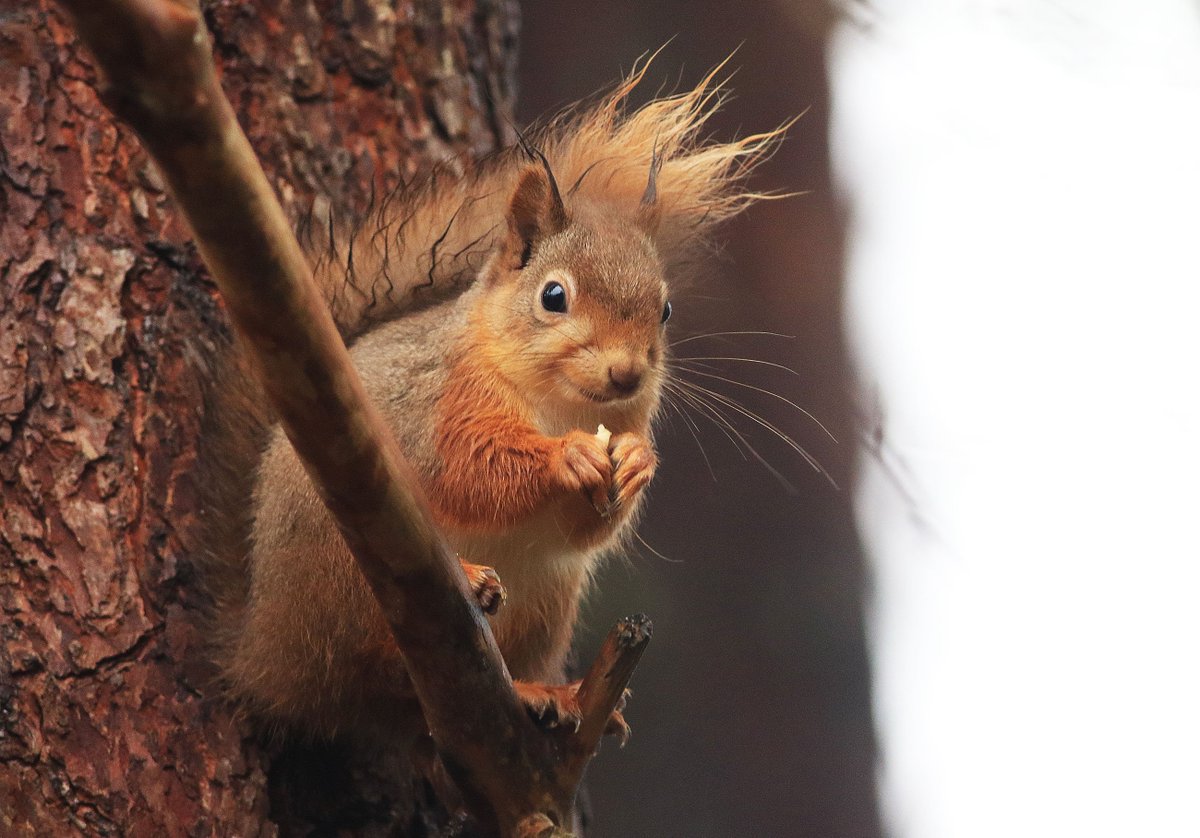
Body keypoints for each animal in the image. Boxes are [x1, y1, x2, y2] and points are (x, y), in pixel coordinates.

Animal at [198, 58, 782, 741]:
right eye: (553, 296)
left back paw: (553, 693)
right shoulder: (445, 398)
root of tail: (264, 654)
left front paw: (637, 463)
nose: (627, 374)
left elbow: (584, 526)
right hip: (347, 562)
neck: (563, 405)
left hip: (549, 599)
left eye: (664, 310)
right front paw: (567, 457)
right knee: (375, 659)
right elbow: (467, 470)